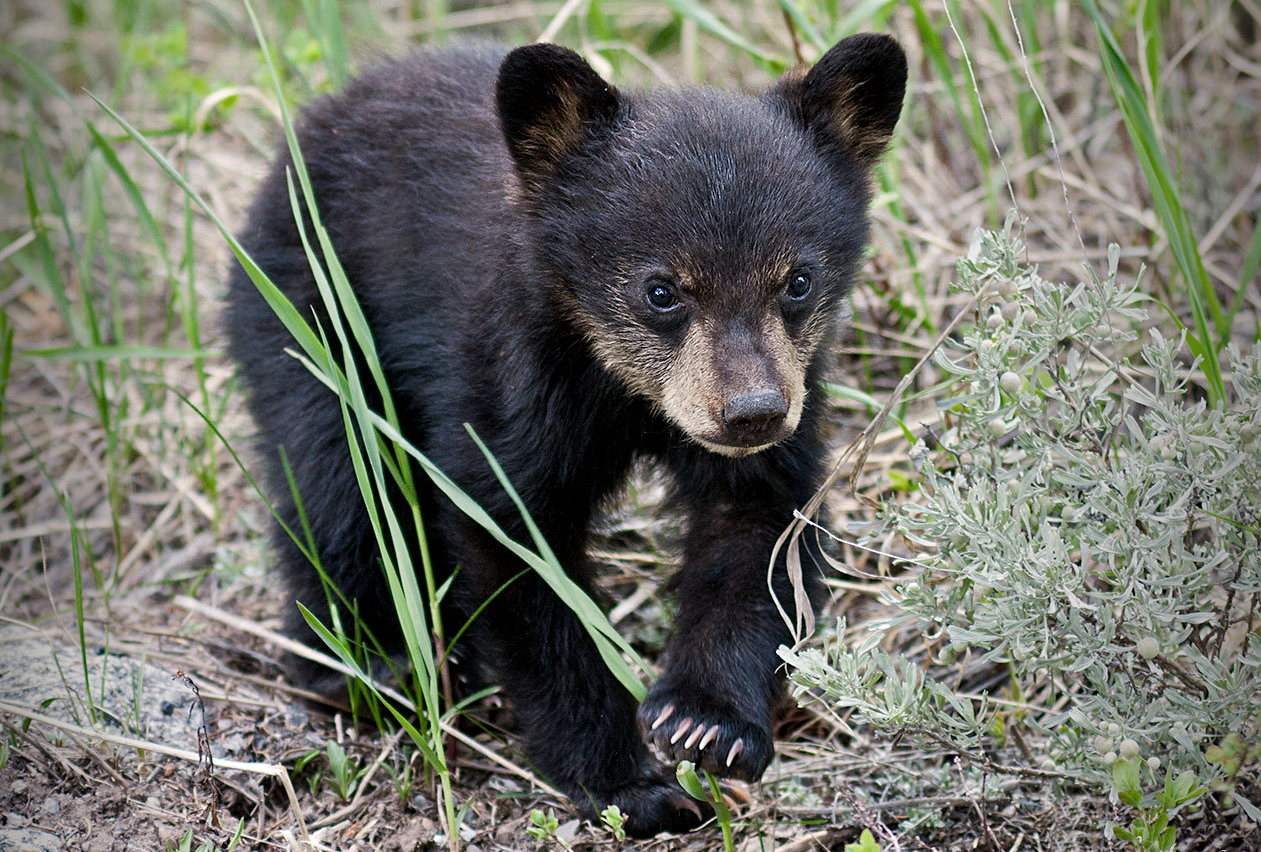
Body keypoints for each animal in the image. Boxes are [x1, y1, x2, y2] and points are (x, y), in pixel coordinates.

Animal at [225, 34, 906, 836]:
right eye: (661, 290)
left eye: (797, 281)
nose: (752, 413)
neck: (620, 388)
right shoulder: (511, 374)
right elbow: (515, 545)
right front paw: (627, 780)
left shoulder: (785, 406)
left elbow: (761, 534)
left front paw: (708, 723)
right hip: (306, 303)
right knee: (335, 478)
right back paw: (368, 663)